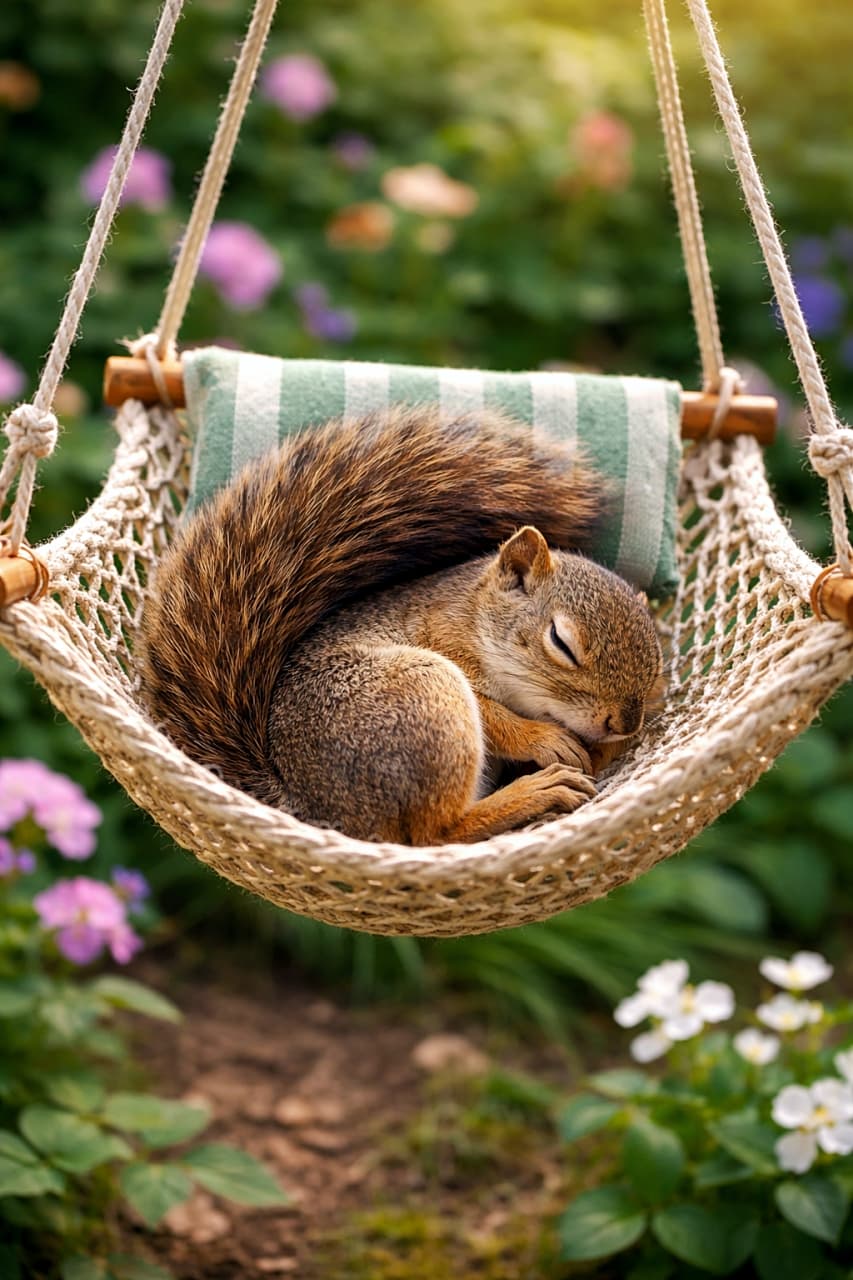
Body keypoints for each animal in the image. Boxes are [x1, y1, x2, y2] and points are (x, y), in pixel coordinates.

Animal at [138, 404, 664, 846]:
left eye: (657, 662)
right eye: (561, 641)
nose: (623, 723)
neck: (474, 617)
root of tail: (316, 804)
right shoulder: (445, 644)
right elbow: (494, 716)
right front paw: (545, 738)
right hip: (426, 692)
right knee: (435, 834)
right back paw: (534, 793)